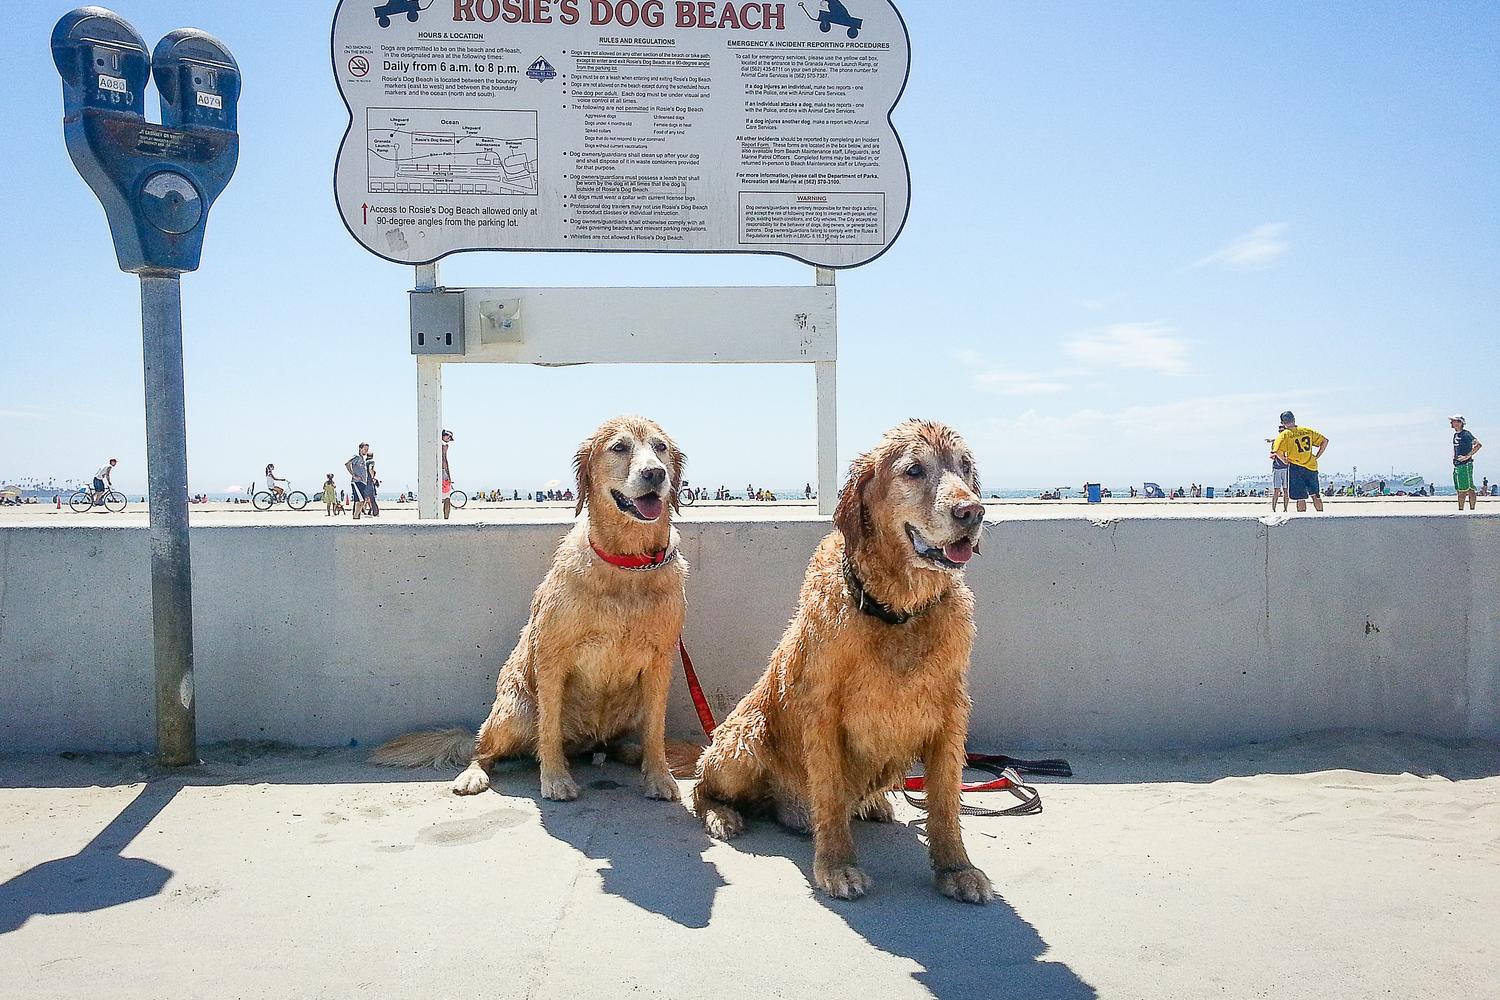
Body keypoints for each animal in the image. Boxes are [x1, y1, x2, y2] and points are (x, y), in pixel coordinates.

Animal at [372, 416, 687, 803]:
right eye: (619, 447)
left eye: (660, 447)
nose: (656, 474)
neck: (628, 564)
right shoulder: (553, 655)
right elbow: (548, 727)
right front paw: (555, 778)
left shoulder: (661, 660)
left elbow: (655, 728)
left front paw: (658, 775)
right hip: (515, 713)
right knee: (484, 749)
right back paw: (473, 774)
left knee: (620, 741)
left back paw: (631, 751)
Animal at [687, 419, 990, 905]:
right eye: (914, 470)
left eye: (964, 466)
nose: (972, 512)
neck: (896, 611)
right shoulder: (822, 713)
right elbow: (828, 795)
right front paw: (837, 866)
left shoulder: (950, 713)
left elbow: (945, 800)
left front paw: (957, 868)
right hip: (741, 742)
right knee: (702, 787)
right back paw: (724, 815)